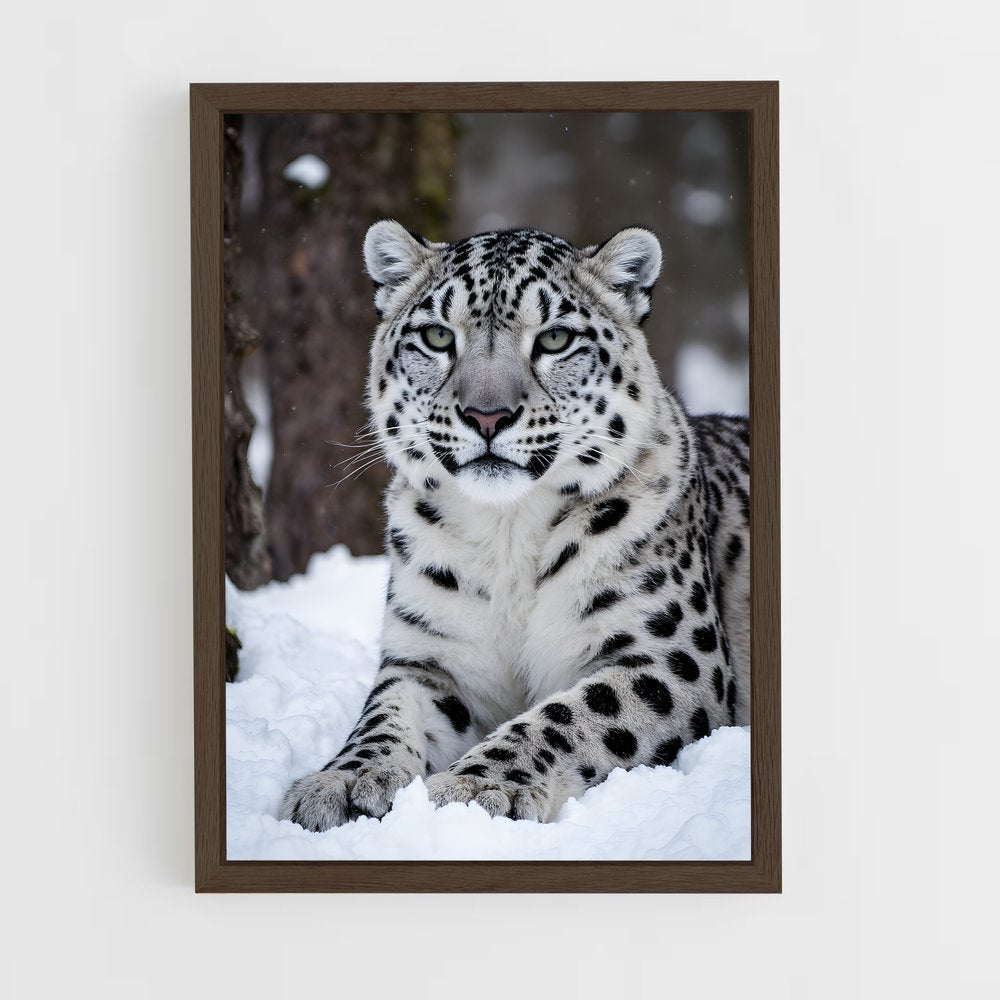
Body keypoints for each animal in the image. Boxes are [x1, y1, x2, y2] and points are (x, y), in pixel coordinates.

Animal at [279, 220, 750, 831]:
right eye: (437, 336)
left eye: (554, 340)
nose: (487, 415)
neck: (507, 537)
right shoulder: (430, 658)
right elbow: (383, 714)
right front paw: (343, 782)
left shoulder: (670, 655)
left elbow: (572, 714)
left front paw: (480, 787)